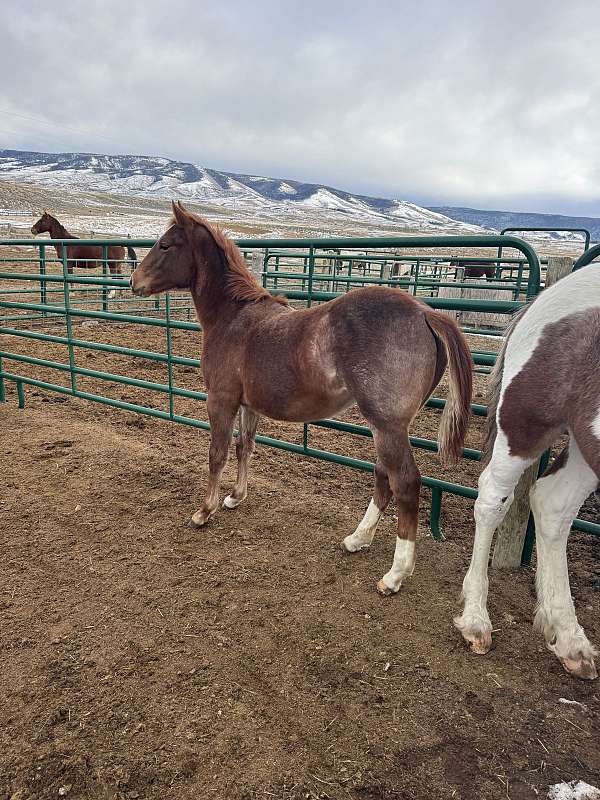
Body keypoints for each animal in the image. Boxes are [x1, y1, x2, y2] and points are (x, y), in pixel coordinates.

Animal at [131, 203, 474, 592]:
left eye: (165, 245)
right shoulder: (249, 405)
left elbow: (217, 454)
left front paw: (204, 511)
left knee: (405, 482)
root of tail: (426, 312)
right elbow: (245, 446)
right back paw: (357, 539)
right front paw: (235, 497)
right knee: (383, 476)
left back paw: (395, 574)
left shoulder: (220, 400)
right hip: (388, 427)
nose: (133, 281)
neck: (232, 318)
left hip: (387, 425)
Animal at [454, 266, 600, 680]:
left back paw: (569, 639)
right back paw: (476, 620)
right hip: (524, 426)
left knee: (553, 503)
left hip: (584, 440)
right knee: (493, 499)